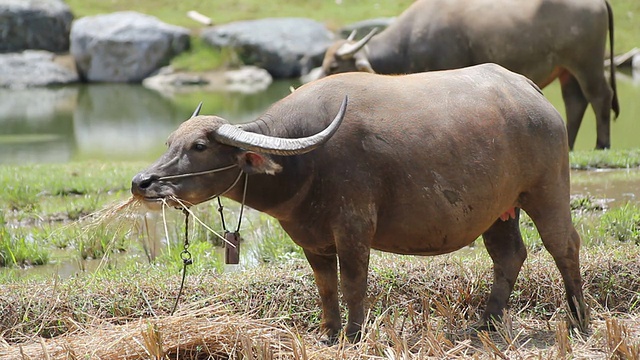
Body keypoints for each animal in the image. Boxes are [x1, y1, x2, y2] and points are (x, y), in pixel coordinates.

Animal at [131, 63, 592, 342]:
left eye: (200, 145)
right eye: (170, 142)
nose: (141, 182)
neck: (302, 163)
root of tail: (530, 91)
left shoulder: (353, 230)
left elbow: (354, 283)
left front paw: (353, 335)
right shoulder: (313, 241)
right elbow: (326, 287)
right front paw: (328, 333)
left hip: (547, 189)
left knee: (563, 245)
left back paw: (579, 321)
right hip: (498, 209)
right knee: (509, 254)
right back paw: (486, 322)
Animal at [322, 0, 616, 150]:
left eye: (333, 67)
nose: (319, 79)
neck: (411, 39)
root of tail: (598, 2)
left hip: (587, 63)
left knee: (600, 97)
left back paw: (602, 144)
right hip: (568, 70)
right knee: (575, 102)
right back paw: (570, 145)